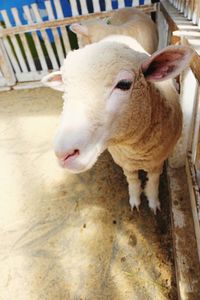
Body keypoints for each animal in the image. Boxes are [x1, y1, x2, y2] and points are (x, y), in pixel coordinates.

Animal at [41, 40, 193, 213]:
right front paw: (135, 200)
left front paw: (153, 202)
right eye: (66, 88)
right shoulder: (125, 162)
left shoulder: (157, 160)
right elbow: (132, 180)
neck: (136, 151)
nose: (64, 154)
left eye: (124, 84)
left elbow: (154, 181)